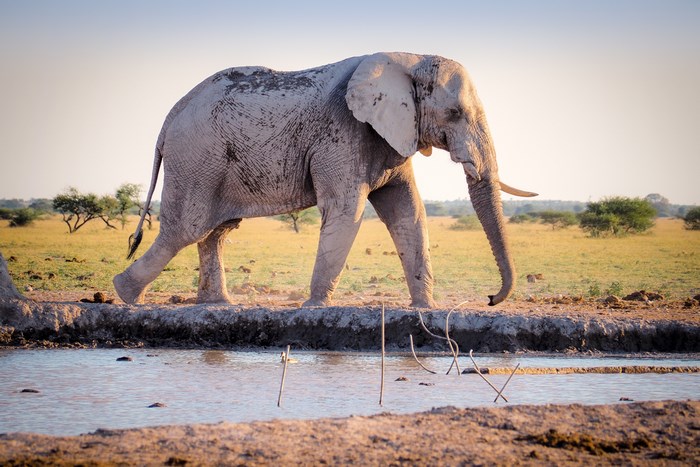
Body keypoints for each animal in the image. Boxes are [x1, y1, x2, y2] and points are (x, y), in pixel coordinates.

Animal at [113, 52, 537, 308]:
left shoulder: (389, 136)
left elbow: (409, 212)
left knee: (215, 231)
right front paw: (314, 307)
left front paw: (425, 309)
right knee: (186, 228)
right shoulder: (343, 133)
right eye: (454, 113)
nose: (490, 299)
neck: (408, 58)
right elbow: (346, 211)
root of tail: (171, 115)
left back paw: (218, 305)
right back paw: (126, 294)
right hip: (197, 157)